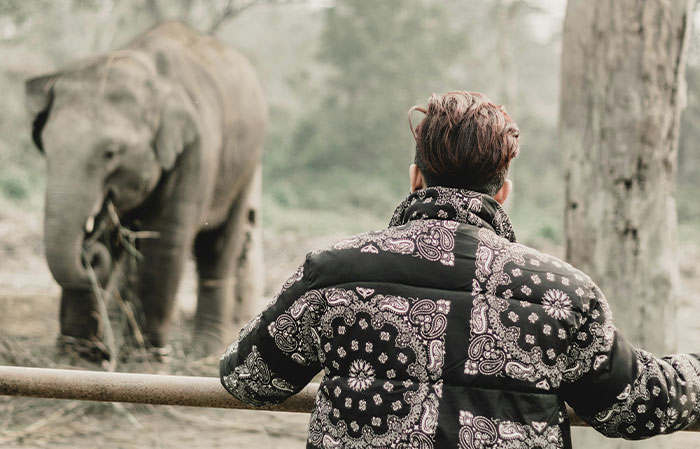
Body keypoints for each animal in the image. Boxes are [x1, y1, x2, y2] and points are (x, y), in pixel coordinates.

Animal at [24, 22, 267, 361]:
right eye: (44, 145)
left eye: (110, 153)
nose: (88, 254)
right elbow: (108, 234)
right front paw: (75, 358)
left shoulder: (196, 151)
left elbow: (167, 241)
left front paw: (144, 359)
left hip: (244, 168)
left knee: (217, 248)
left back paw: (203, 350)